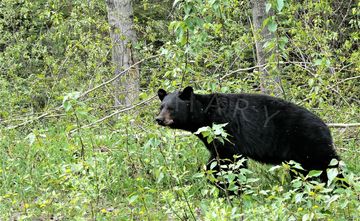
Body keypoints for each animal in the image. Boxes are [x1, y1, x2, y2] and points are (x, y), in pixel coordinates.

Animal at [156, 86, 342, 190]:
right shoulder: (215, 140)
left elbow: (230, 161)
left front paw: (232, 189)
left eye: (171, 108)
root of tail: (325, 127)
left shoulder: (227, 130)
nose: (158, 119)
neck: (205, 115)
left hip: (307, 141)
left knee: (329, 163)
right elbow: (214, 161)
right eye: (161, 106)